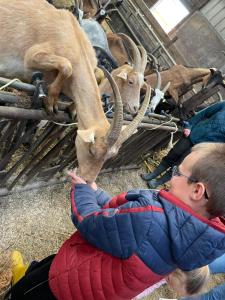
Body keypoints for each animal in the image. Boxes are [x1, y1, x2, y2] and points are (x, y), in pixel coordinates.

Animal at [0, 0, 151, 183]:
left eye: (110, 157)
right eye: (92, 150)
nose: (88, 180)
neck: (75, 43)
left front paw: (71, 109)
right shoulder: (32, 56)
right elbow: (67, 66)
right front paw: (50, 102)